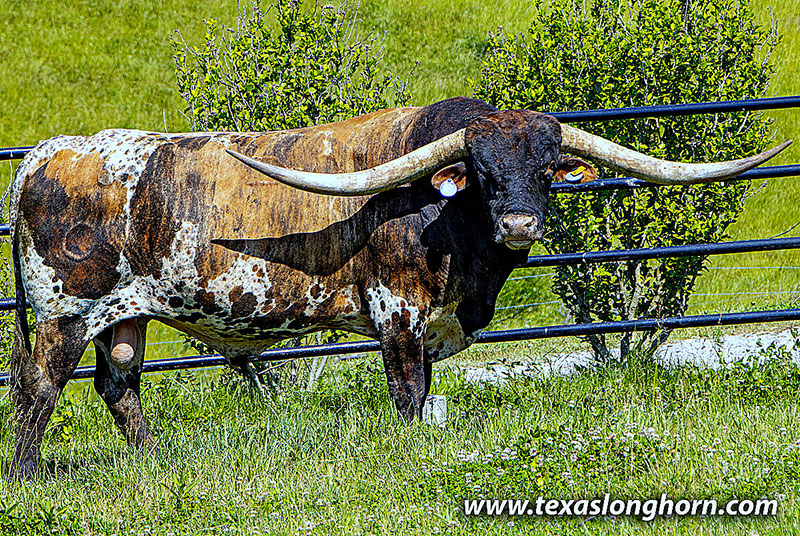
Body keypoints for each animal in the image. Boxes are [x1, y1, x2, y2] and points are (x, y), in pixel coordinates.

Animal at [7, 97, 789, 478]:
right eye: (482, 172)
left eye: (545, 169)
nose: (519, 222)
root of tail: (45, 154)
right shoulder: (400, 314)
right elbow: (409, 395)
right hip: (64, 311)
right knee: (38, 387)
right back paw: (27, 476)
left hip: (125, 313)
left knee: (119, 384)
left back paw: (154, 462)